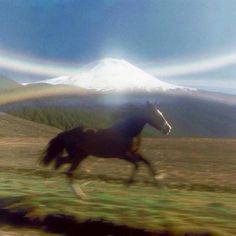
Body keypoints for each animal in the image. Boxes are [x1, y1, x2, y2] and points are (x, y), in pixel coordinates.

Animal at [40, 101, 171, 197]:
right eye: (156, 114)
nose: (168, 128)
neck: (127, 132)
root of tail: (66, 133)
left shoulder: (136, 152)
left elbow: (148, 162)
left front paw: (159, 185)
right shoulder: (123, 154)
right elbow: (137, 165)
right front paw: (127, 185)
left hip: (80, 156)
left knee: (60, 162)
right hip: (76, 156)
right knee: (67, 170)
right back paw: (79, 194)